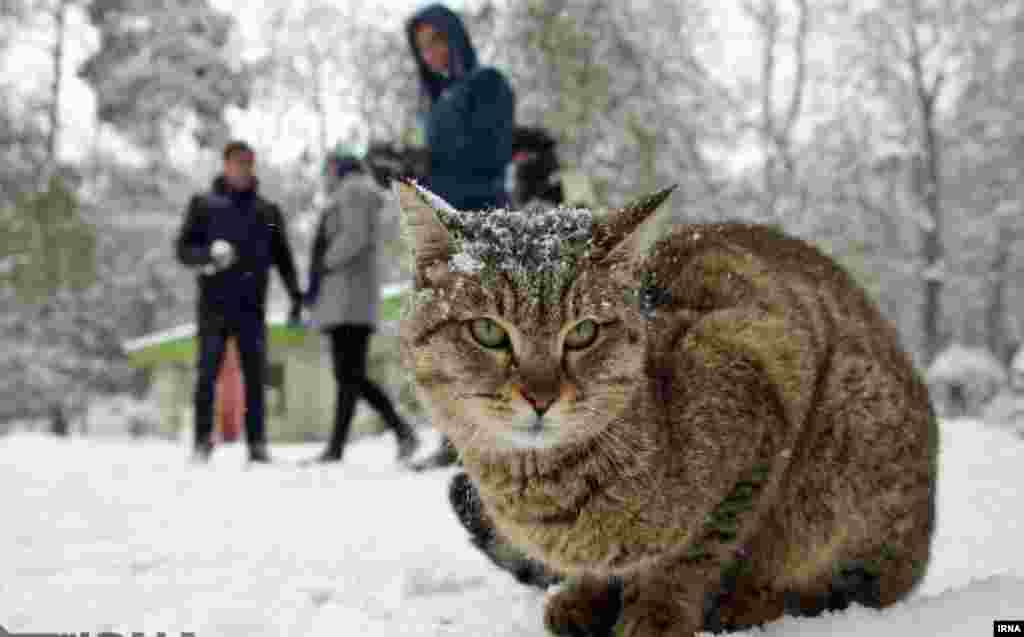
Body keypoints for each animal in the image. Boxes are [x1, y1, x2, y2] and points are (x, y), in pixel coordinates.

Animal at [395, 181, 937, 637]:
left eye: (583, 332)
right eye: (488, 331)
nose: (541, 396)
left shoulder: (759, 392)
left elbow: (696, 551)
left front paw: (658, 611)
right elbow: (604, 570)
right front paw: (585, 597)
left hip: (851, 436)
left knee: (844, 583)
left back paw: (754, 602)